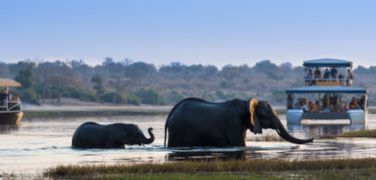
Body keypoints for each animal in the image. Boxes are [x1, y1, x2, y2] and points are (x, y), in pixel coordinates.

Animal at [163, 97, 312, 147]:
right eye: (267, 116)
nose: (313, 140)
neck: (246, 104)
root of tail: (170, 114)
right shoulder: (233, 123)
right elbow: (240, 144)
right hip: (177, 128)